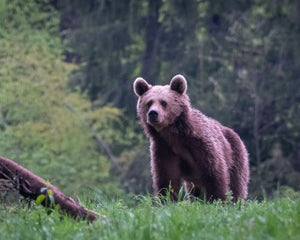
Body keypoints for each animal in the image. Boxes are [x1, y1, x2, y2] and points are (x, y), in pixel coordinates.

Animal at [133, 74, 248, 202]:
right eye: (149, 102)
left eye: (163, 102)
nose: (153, 113)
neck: (174, 136)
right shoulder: (164, 149)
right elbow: (167, 179)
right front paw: (166, 200)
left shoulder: (202, 145)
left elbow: (215, 174)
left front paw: (218, 199)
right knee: (194, 191)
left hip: (235, 155)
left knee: (236, 183)